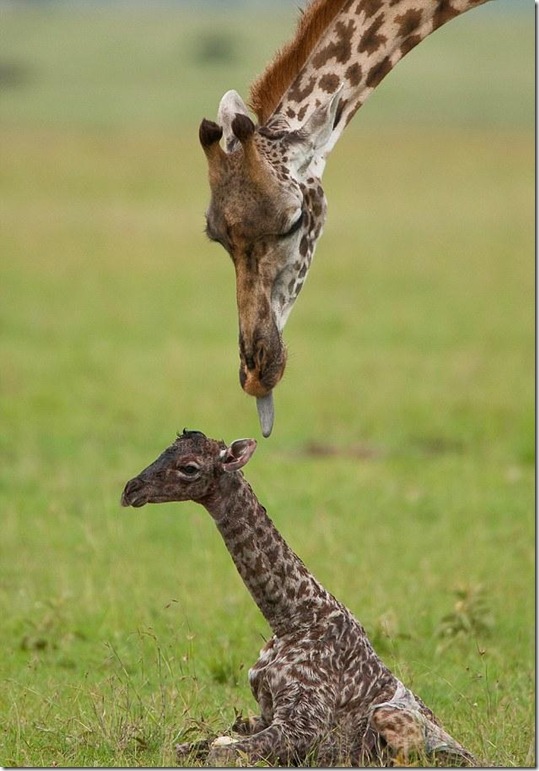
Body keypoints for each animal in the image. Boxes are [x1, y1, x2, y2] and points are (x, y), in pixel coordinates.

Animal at [122, 429, 478, 767]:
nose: (130, 489)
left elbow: (219, 753)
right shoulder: (264, 714)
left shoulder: (303, 727)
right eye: (164, 451)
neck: (292, 617)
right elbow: (191, 745)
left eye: (189, 467)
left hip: (390, 718)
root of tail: (471, 754)